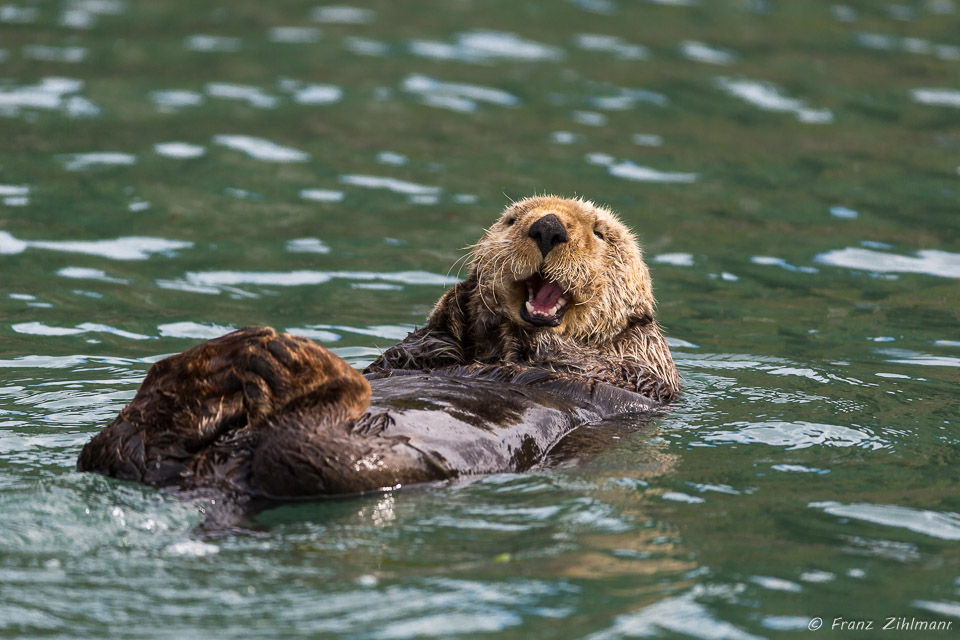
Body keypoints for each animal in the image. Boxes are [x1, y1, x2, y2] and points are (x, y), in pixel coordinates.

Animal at [77, 195, 684, 500]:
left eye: (602, 233)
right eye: (513, 218)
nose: (549, 227)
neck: (503, 350)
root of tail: (214, 474)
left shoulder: (641, 371)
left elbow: (596, 359)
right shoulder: (425, 351)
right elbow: (416, 350)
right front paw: (464, 297)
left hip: (358, 465)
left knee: (303, 447)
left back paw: (293, 365)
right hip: (153, 452)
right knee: (121, 445)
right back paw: (228, 359)